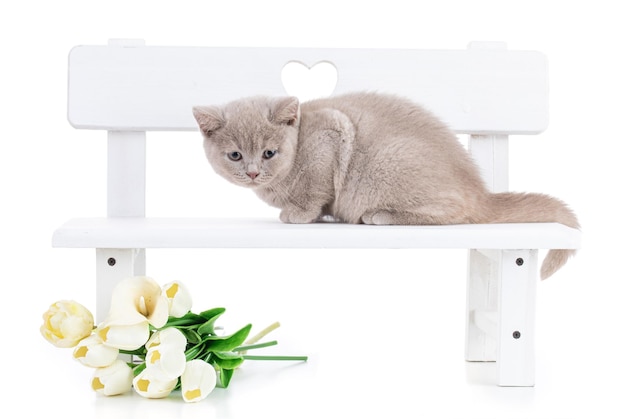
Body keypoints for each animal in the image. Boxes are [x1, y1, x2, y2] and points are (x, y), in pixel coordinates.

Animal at [193, 93, 576, 280]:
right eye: (235, 155)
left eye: (269, 153)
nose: (253, 172)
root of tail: (481, 192)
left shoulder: (332, 133)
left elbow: (315, 190)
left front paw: (299, 213)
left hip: (389, 164)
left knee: (455, 213)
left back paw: (379, 215)